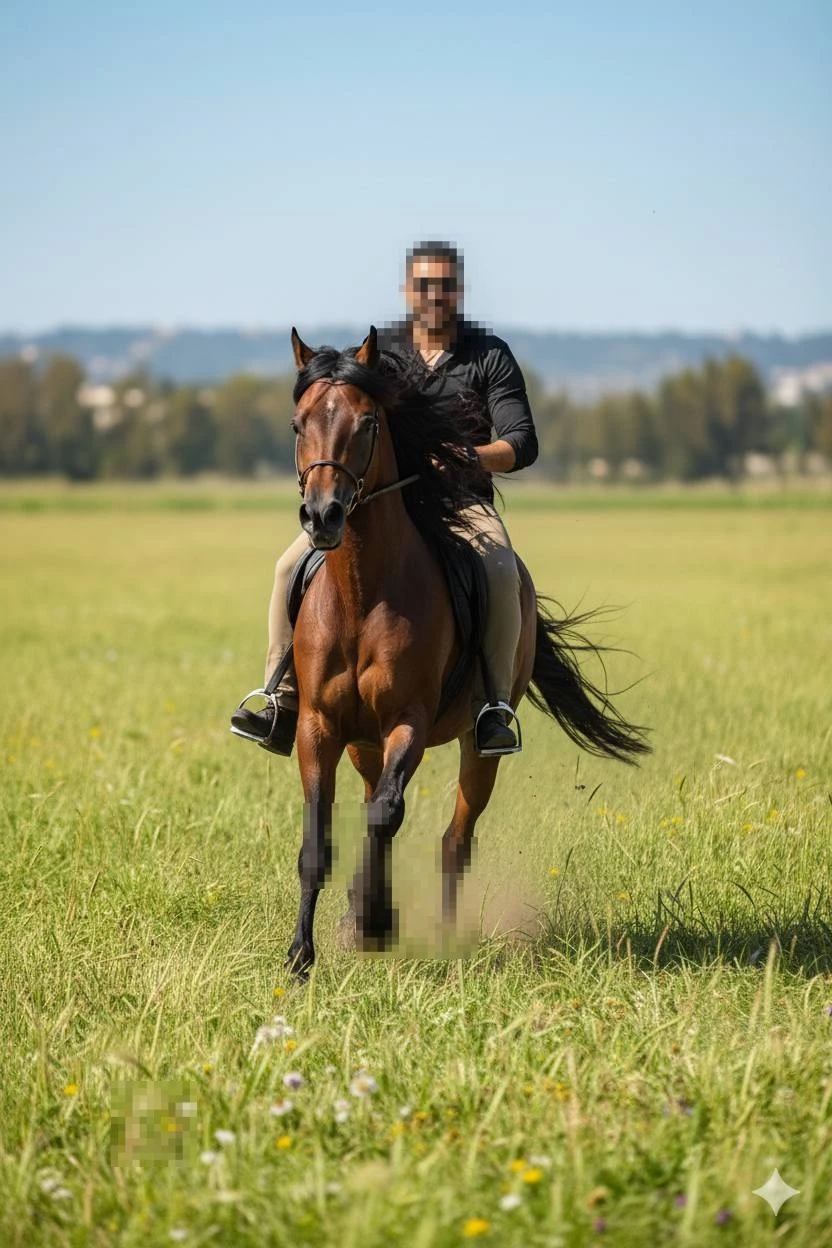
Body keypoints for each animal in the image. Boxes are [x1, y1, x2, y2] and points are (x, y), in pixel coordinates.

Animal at [282, 326, 649, 977]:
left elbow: (386, 815)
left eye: (368, 422)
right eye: (299, 425)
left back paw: (442, 934)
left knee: (454, 838)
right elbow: (318, 840)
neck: (362, 591)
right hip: (361, 741)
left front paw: (374, 923)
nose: (322, 515)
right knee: (379, 802)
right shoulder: (318, 725)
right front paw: (302, 955)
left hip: (478, 749)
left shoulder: (409, 720)